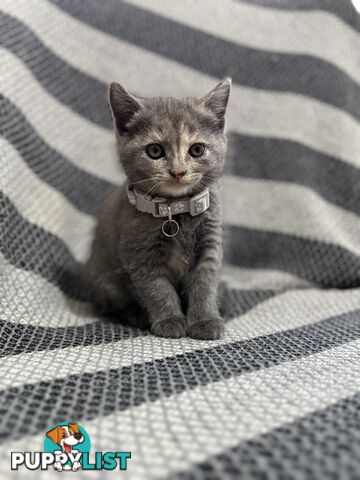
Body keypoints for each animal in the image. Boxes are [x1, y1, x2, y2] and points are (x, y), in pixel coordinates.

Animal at [84, 79, 231, 340]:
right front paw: (170, 320)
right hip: (103, 279)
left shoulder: (211, 243)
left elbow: (205, 283)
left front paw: (205, 320)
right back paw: (137, 315)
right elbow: (157, 288)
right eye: (155, 151)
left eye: (197, 150)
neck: (175, 210)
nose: (178, 171)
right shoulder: (139, 253)